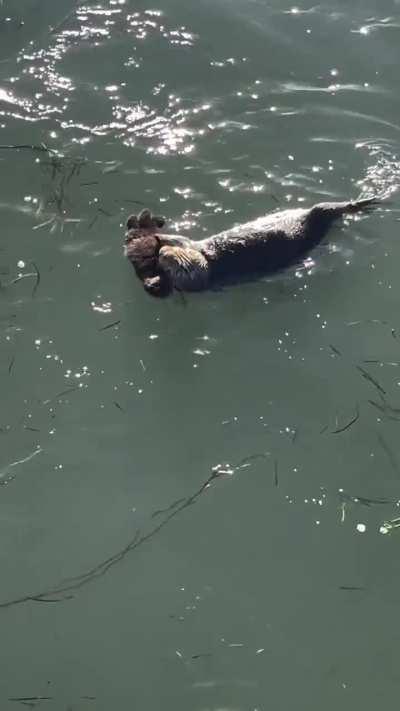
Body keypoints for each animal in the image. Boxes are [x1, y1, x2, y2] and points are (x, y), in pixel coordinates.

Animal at [124, 199, 379, 297]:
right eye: (167, 263)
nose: (161, 253)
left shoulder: (195, 249)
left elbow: (184, 242)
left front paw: (163, 240)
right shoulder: (200, 270)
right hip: (318, 218)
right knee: (328, 209)